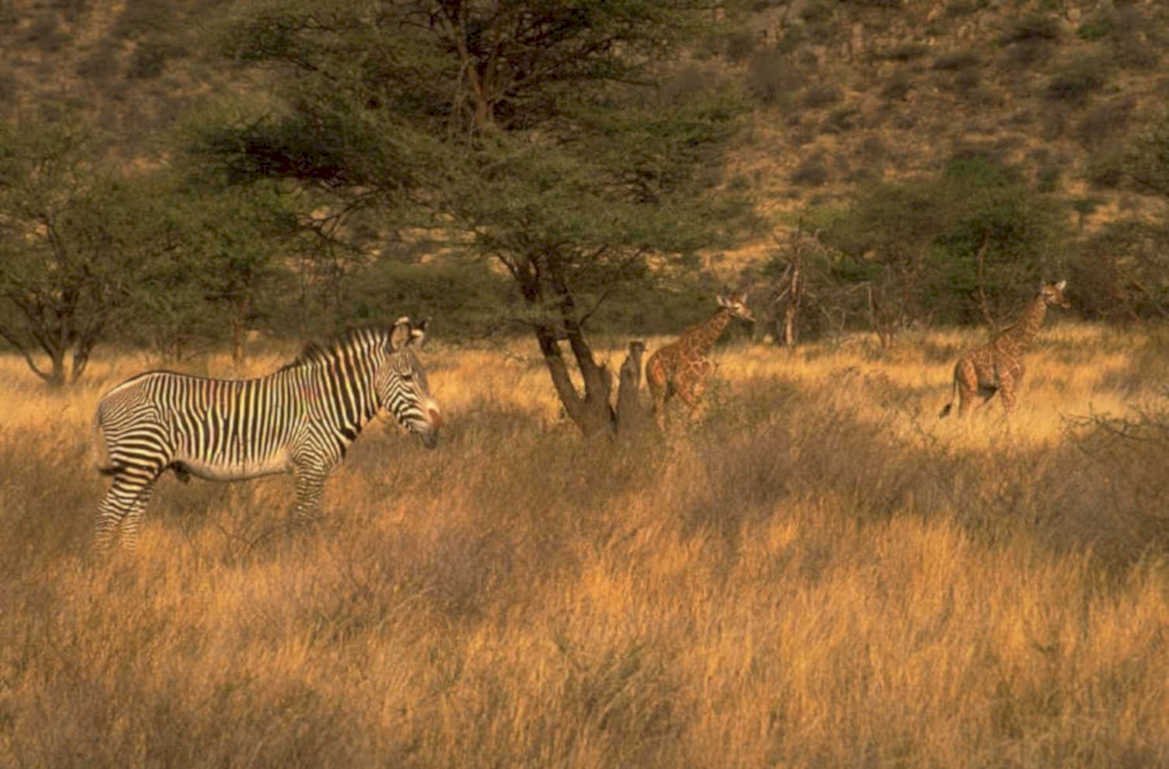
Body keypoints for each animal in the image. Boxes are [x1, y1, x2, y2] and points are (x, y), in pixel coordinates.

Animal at [93, 317, 442, 550]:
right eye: (407, 377)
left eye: (423, 377)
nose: (438, 430)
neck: (325, 401)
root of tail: (108, 396)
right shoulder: (310, 466)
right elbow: (304, 519)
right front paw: (300, 563)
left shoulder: (313, 469)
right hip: (138, 461)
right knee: (109, 513)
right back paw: (107, 569)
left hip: (146, 465)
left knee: (131, 516)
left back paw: (128, 563)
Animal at [646, 292, 754, 426]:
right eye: (736, 307)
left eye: (745, 303)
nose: (750, 315)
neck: (702, 347)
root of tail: (647, 365)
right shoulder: (679, 380)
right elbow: (698, 410)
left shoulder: (701, 382)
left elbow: (696, 412)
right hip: (658, 385)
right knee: (658, 413)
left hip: (669, 389)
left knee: (654, 411)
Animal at [939, 280, 1070, 418]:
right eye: (1049, 294)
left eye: (1060, 292)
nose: (1066, 303)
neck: (1019, 346)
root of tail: (956, 367)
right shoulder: (1005, 381)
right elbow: (1010, 413)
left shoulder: (1017, 382)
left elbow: (1013, 411)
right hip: (968, 386)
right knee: (962, 413)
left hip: (984, 391)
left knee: (966, 413)